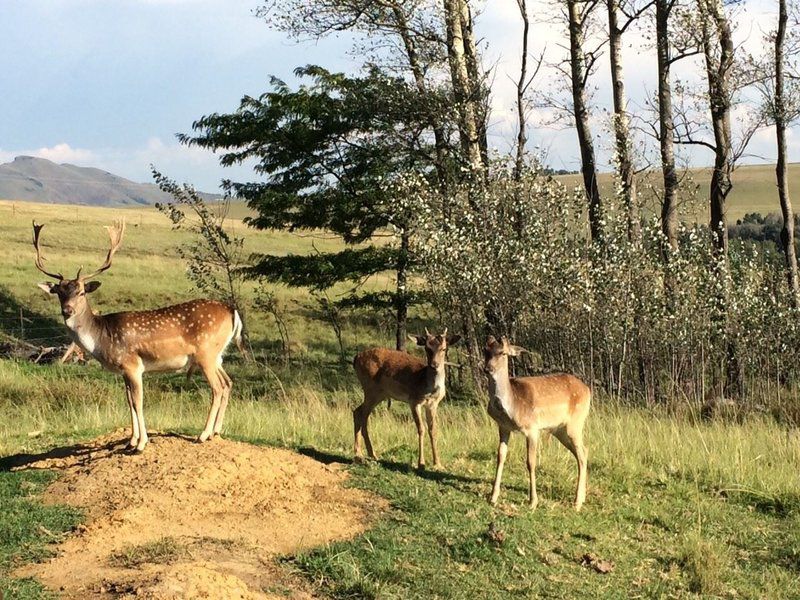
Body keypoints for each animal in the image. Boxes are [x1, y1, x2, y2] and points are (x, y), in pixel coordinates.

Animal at [32, 219, 244, 450]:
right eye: (59, 293)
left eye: (81, 292)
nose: (67, 310)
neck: (101, 338)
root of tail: (232, 311)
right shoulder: (124, 371)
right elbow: (129, 402)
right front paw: (131, 440)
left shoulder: (132, 365)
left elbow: (138, 402)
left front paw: (141, 444)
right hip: (217, 356)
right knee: (228, 383)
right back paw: (216, 431)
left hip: (206, 354)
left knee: (217, 388)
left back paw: (203, 434)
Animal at [352, 330, 460, 472]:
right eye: (427, 348)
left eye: (444, 348)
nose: (434, 365)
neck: (427, 385)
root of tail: (355, 359)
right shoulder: (414, 400)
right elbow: (421, 429)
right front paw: (421, 464)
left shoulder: (433, 404)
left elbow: (433, 430)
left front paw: (438, 464)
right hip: (370, 389)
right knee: (361, 414)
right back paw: (363, 454)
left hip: (380, 394)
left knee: (359, 412)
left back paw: (366, 454)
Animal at [482, 336, 588, 508]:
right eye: (485, 350)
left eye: (503, 353)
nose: (488, 368)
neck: (511, 407)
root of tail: (588, 390)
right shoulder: (503, 427)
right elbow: (500, 456)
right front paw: (493, 497)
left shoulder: (532, 428)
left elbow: (530, 462)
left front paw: (533, 502)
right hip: (560, 430)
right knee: (582, 452)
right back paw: (582, 498)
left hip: (576, 423)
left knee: (583, 453)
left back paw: (577, 502)